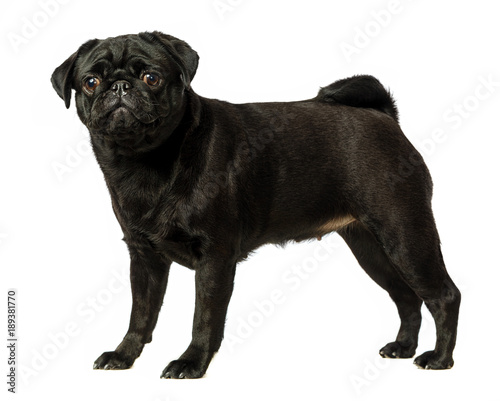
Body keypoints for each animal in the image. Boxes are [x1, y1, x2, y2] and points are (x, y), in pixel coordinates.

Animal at [50, 32, 460, 378]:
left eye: (151, 78)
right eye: (91, 82)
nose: (120, 86)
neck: (145, 162)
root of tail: (384, 116)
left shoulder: (214, 257)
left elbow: (204, 318)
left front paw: (192, 363)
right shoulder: (144, 257)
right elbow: (141, 314)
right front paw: (124, 355)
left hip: (405, 236)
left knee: (443, 295)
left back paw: (439, 359)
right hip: (371, 248)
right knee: (407, 298)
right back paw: (403, 348)